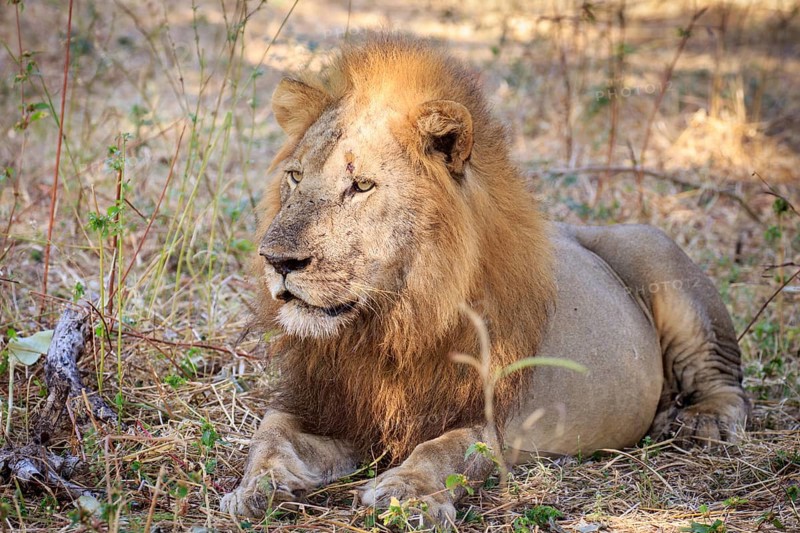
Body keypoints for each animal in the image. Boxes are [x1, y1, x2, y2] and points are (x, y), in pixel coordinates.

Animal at [220, 35, 749, 525]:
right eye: (294, 177)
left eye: (362, 185)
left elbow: (447, 448)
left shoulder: (503, 418)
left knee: (726, 379)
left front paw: (406, 493)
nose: (276, 260)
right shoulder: (329, 403)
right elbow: (270, 431)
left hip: (657, 251)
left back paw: (703, 423)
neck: (388, 324)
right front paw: (257, 488)